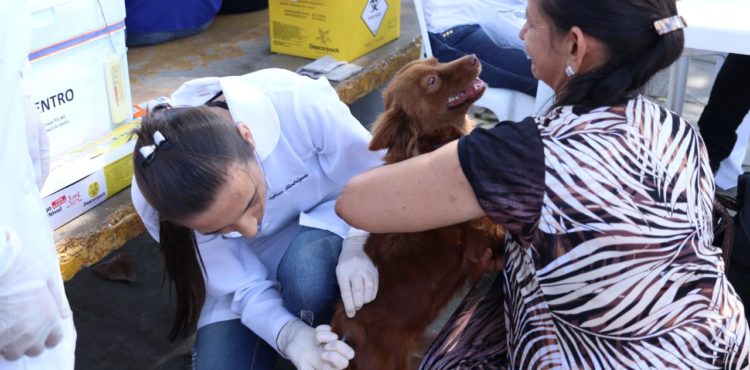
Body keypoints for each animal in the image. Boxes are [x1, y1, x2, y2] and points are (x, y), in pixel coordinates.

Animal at [334, 55, 506, 370]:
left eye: (436, 61)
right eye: (431, 81)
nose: (474, 58)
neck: (431, 146)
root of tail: (346, 335)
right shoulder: (481, 244)